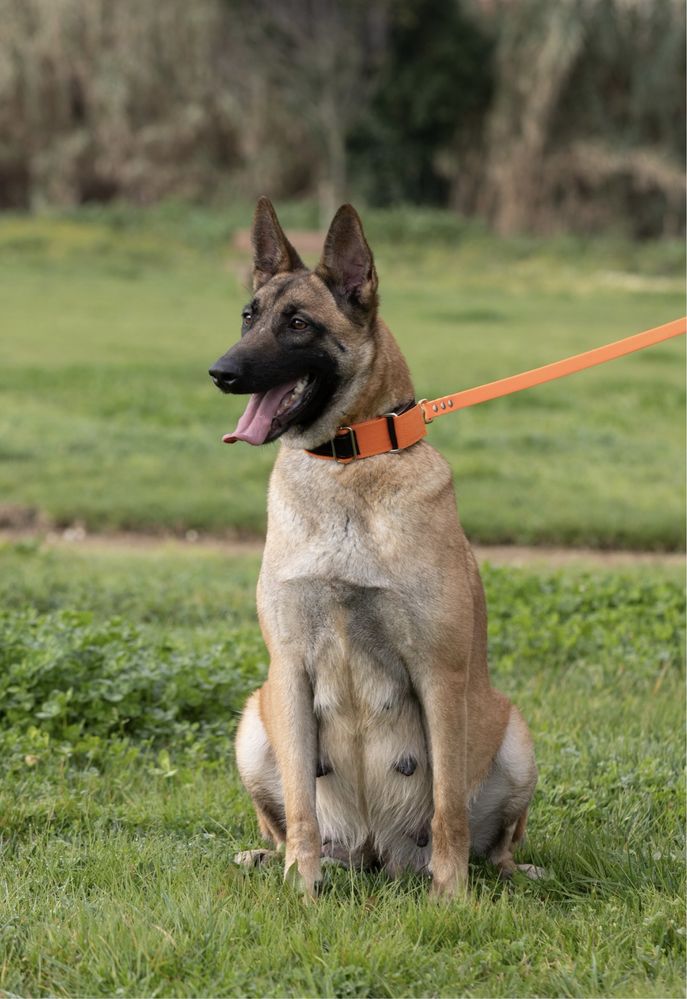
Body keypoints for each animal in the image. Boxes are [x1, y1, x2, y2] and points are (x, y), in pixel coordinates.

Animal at [207, 199, 540, 904]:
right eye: (249, 315)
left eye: (298, 324)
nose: (221, 373)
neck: (350, 466)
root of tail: (375, 855)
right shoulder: (290, 670)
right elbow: (302, 809)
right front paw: (301, 891)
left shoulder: (439, 674)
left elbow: (447, 809)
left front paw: (450, 900)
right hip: (254, 720)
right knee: (283, 819)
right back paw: (272, 859)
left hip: (514, 732)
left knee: (494, 840)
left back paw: (503, 873)